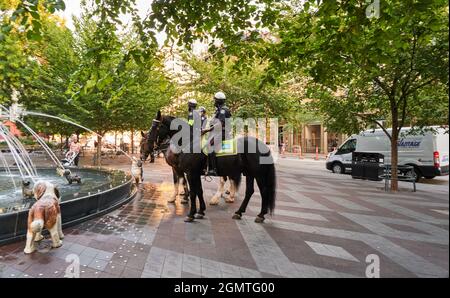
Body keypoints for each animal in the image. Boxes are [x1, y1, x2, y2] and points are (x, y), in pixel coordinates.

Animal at [143, 110, 278, 222]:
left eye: (157, 126)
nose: (149, 145)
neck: (189, 142)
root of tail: (263, 145)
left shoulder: (190, 173)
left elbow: (193, 192)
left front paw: (191, 214)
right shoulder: (194, 173)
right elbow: (199, 191)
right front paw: (201, 211)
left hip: (258, 174)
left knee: (263, 190)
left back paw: (260, 214)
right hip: (249, 173)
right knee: (249, 191)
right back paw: (239, 212)